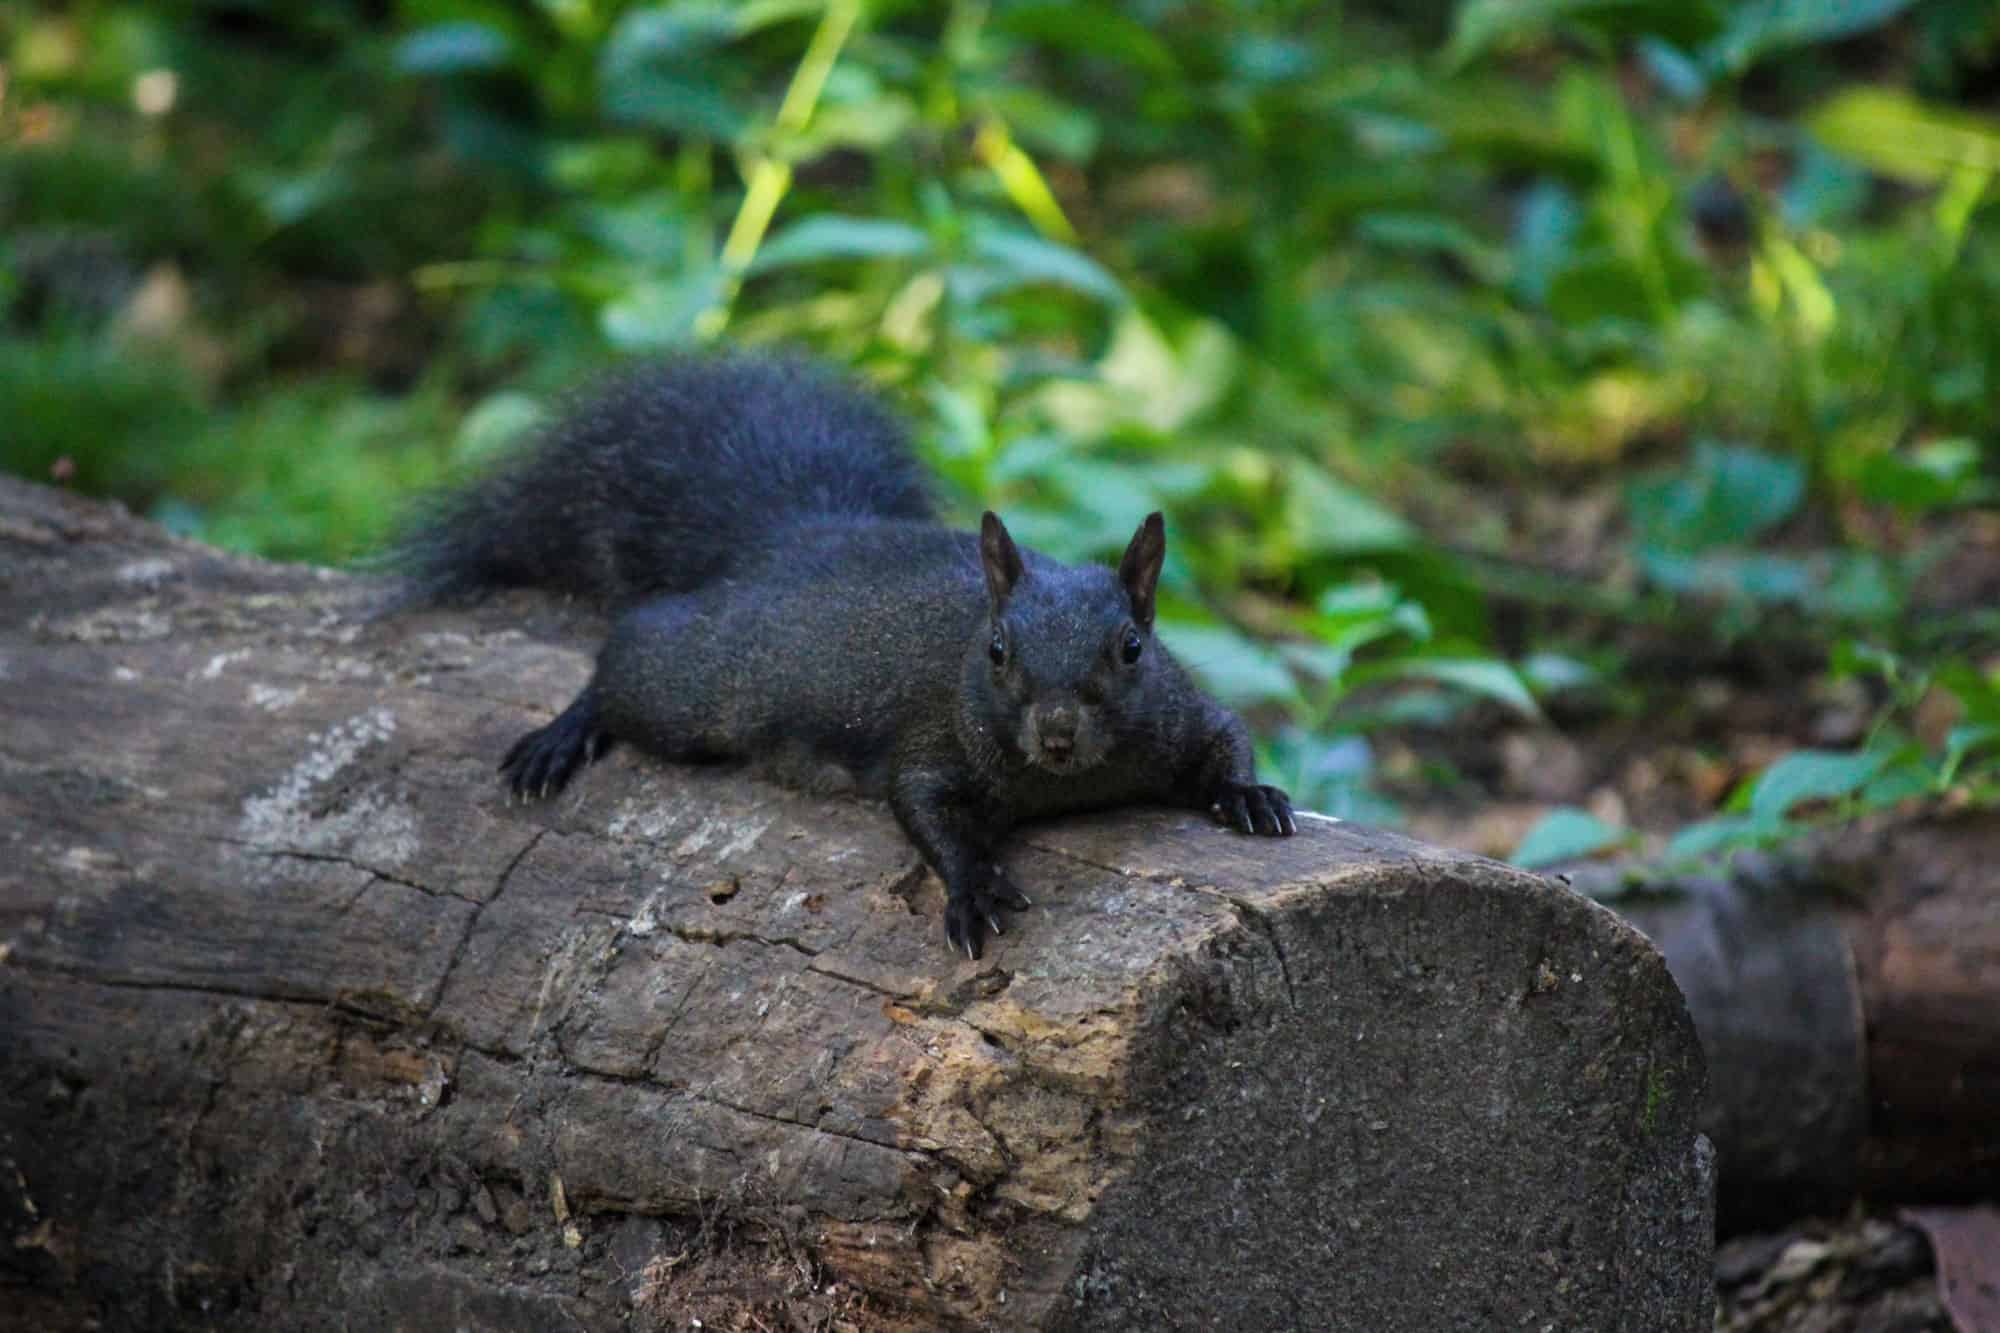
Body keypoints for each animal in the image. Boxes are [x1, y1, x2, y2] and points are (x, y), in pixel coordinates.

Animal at [396, 352, 1288, 956]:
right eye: (997, 650)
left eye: (1132, 646)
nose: (1058, 733)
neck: (1067, 781)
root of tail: (787, 540)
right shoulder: (934, 740)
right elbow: (922, 808)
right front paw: (972, 887)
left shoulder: (1177, 710)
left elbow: (1228, 734)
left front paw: (1251, 796)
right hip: (698, 685)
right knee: (630, 651)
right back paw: (563, 734)